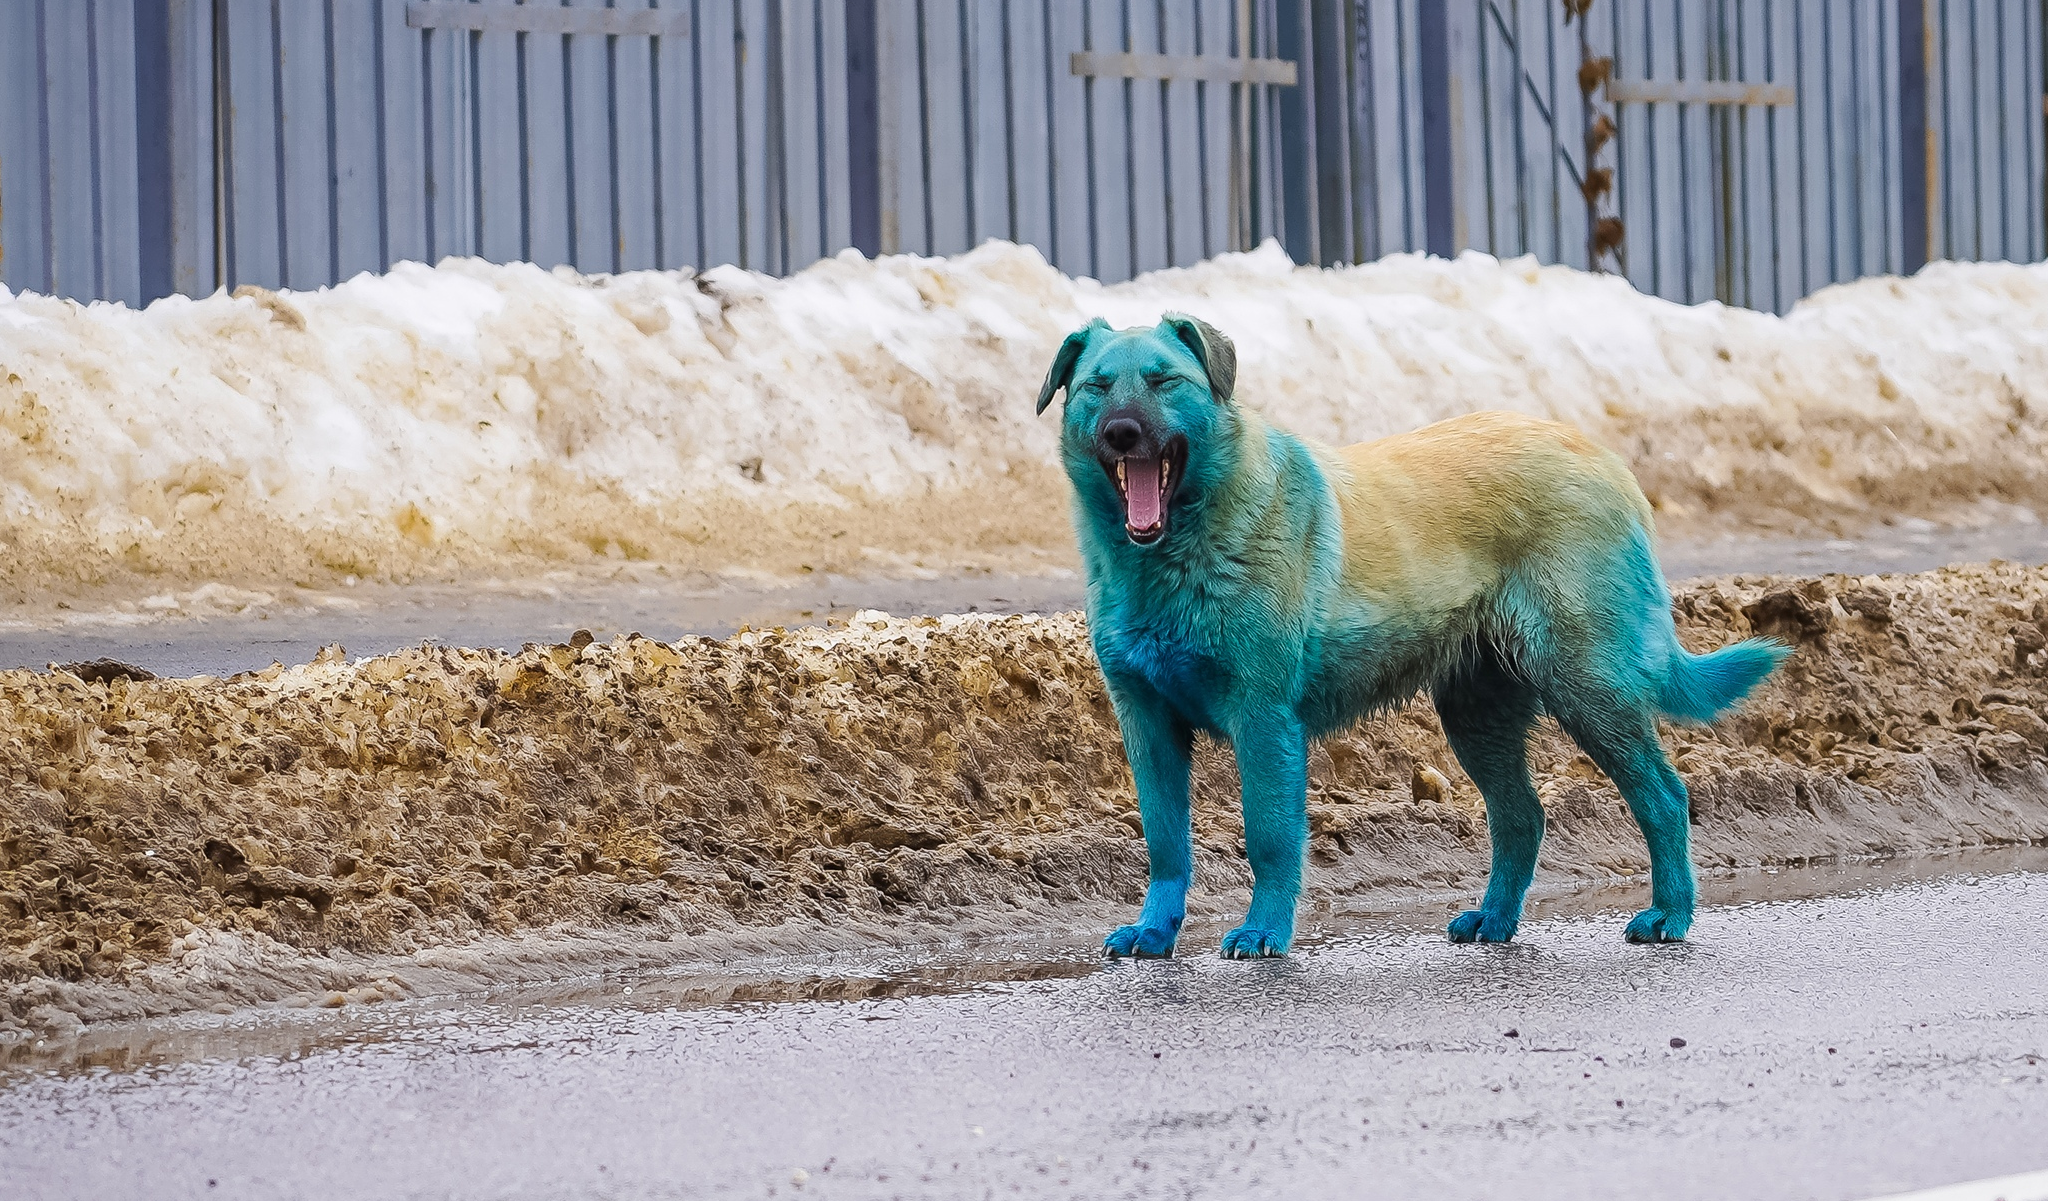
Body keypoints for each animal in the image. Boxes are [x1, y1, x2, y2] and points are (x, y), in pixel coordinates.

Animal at [1032, 315, 1785, 955]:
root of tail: (1606, 461)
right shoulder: (1148, 724)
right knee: (1523, 816)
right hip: (1477, 715)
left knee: (1664, 797)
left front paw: (1264, 931)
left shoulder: (1263, 719)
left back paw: (1671, 915)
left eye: (1164, 381)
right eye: (1098, 386)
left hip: (1588, 689)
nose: (1122, 432)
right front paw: (1155, 932)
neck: (1177, 550)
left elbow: (1270, 837)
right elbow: (1166, 844)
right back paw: (1496, 920)